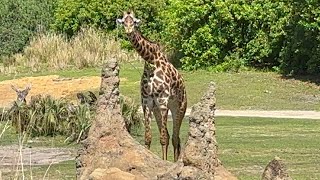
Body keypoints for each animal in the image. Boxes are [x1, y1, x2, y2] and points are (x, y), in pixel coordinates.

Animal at [117, 10, 188, 162]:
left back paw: (174, 162)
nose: (129, 30)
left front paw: (164, 162)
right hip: (157, 110)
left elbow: (163, 138)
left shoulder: (163, 101)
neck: (151, 60)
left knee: (175, 138)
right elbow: (148, 138)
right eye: (124, 22)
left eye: (134, 22)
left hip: (179, 108)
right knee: (172, 136)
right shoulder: (147, 102)